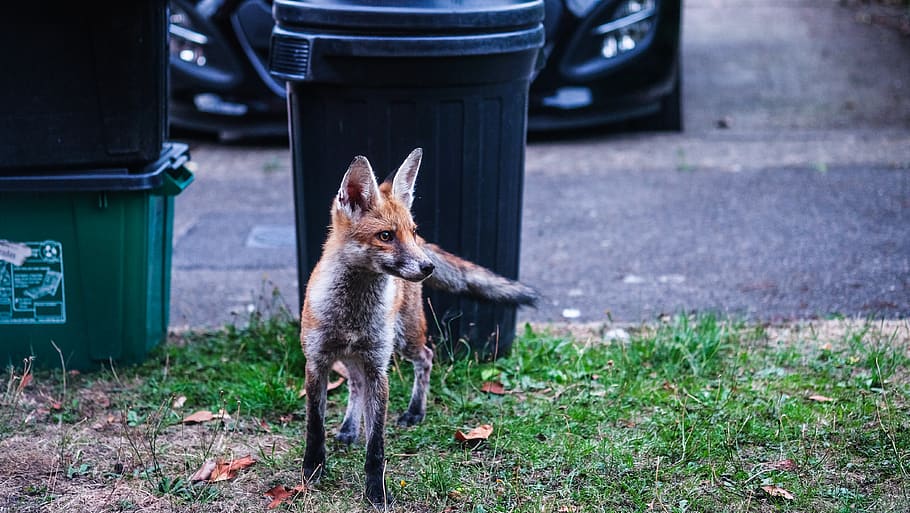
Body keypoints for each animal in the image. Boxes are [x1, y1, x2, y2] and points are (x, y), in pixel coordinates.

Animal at [299, 148, 538, 507]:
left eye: (410, 231)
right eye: (386, 236)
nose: (428, 266)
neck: (353, 314)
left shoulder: (378, 369)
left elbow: (376, 447)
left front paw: (376, 492)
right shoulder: (317, 362)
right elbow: (315, 427)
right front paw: (313, 470)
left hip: (404, 339)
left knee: (426, 356)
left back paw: (415, 412)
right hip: (354, 356)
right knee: (355, 384)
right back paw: (349, 428)